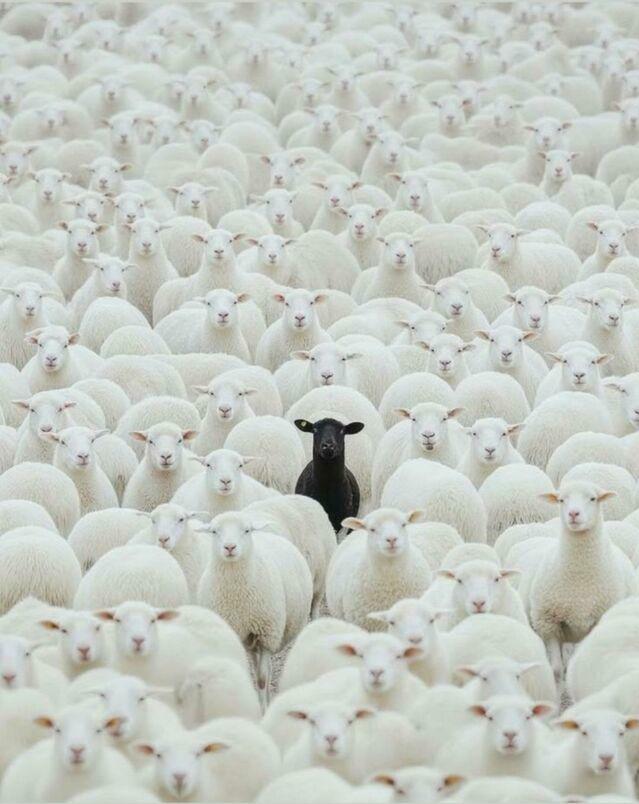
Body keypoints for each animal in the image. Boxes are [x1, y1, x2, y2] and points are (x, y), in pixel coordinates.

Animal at [196, 510, 312, 702]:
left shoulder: (266, 635)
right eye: (214, 531)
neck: (237, 598)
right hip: (250, 640)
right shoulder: (239, 633)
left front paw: (264, 705)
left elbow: (262, 679)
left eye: (247, 530)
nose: (230, 547)